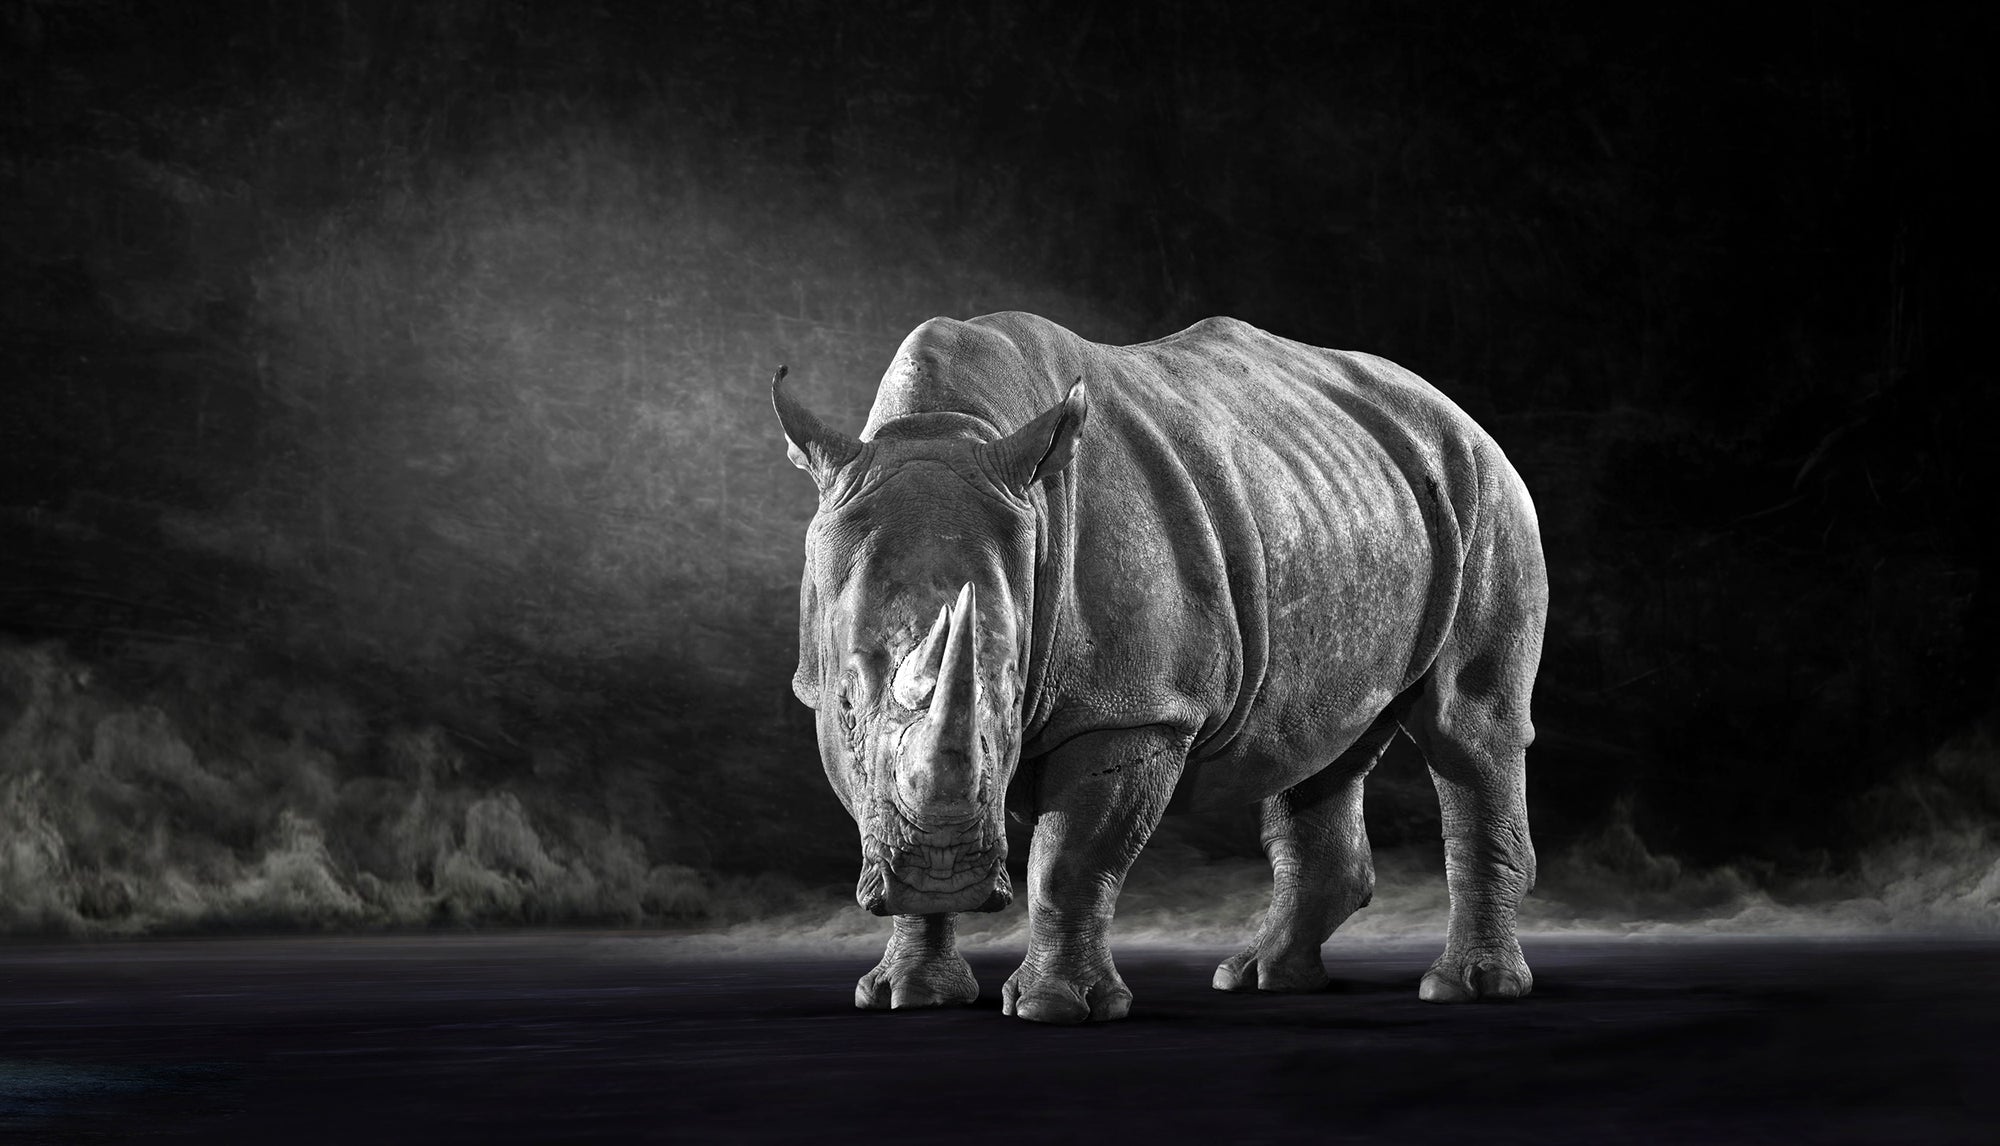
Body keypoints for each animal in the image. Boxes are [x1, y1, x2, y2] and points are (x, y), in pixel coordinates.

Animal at [772, 311, 1546, 1024]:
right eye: (845, 704)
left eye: (1012, 696)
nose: (944, 874)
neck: (948, 429)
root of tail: (1454, 410)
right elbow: (877, 800)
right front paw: (909, 993)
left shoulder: (1133, 708)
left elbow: (1070, 861)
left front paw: (1056, 1008)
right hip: (1343, 502)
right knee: (1318, 741)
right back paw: (1262, 977)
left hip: (1486, 489)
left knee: (1466, 730)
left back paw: (1467, 987)